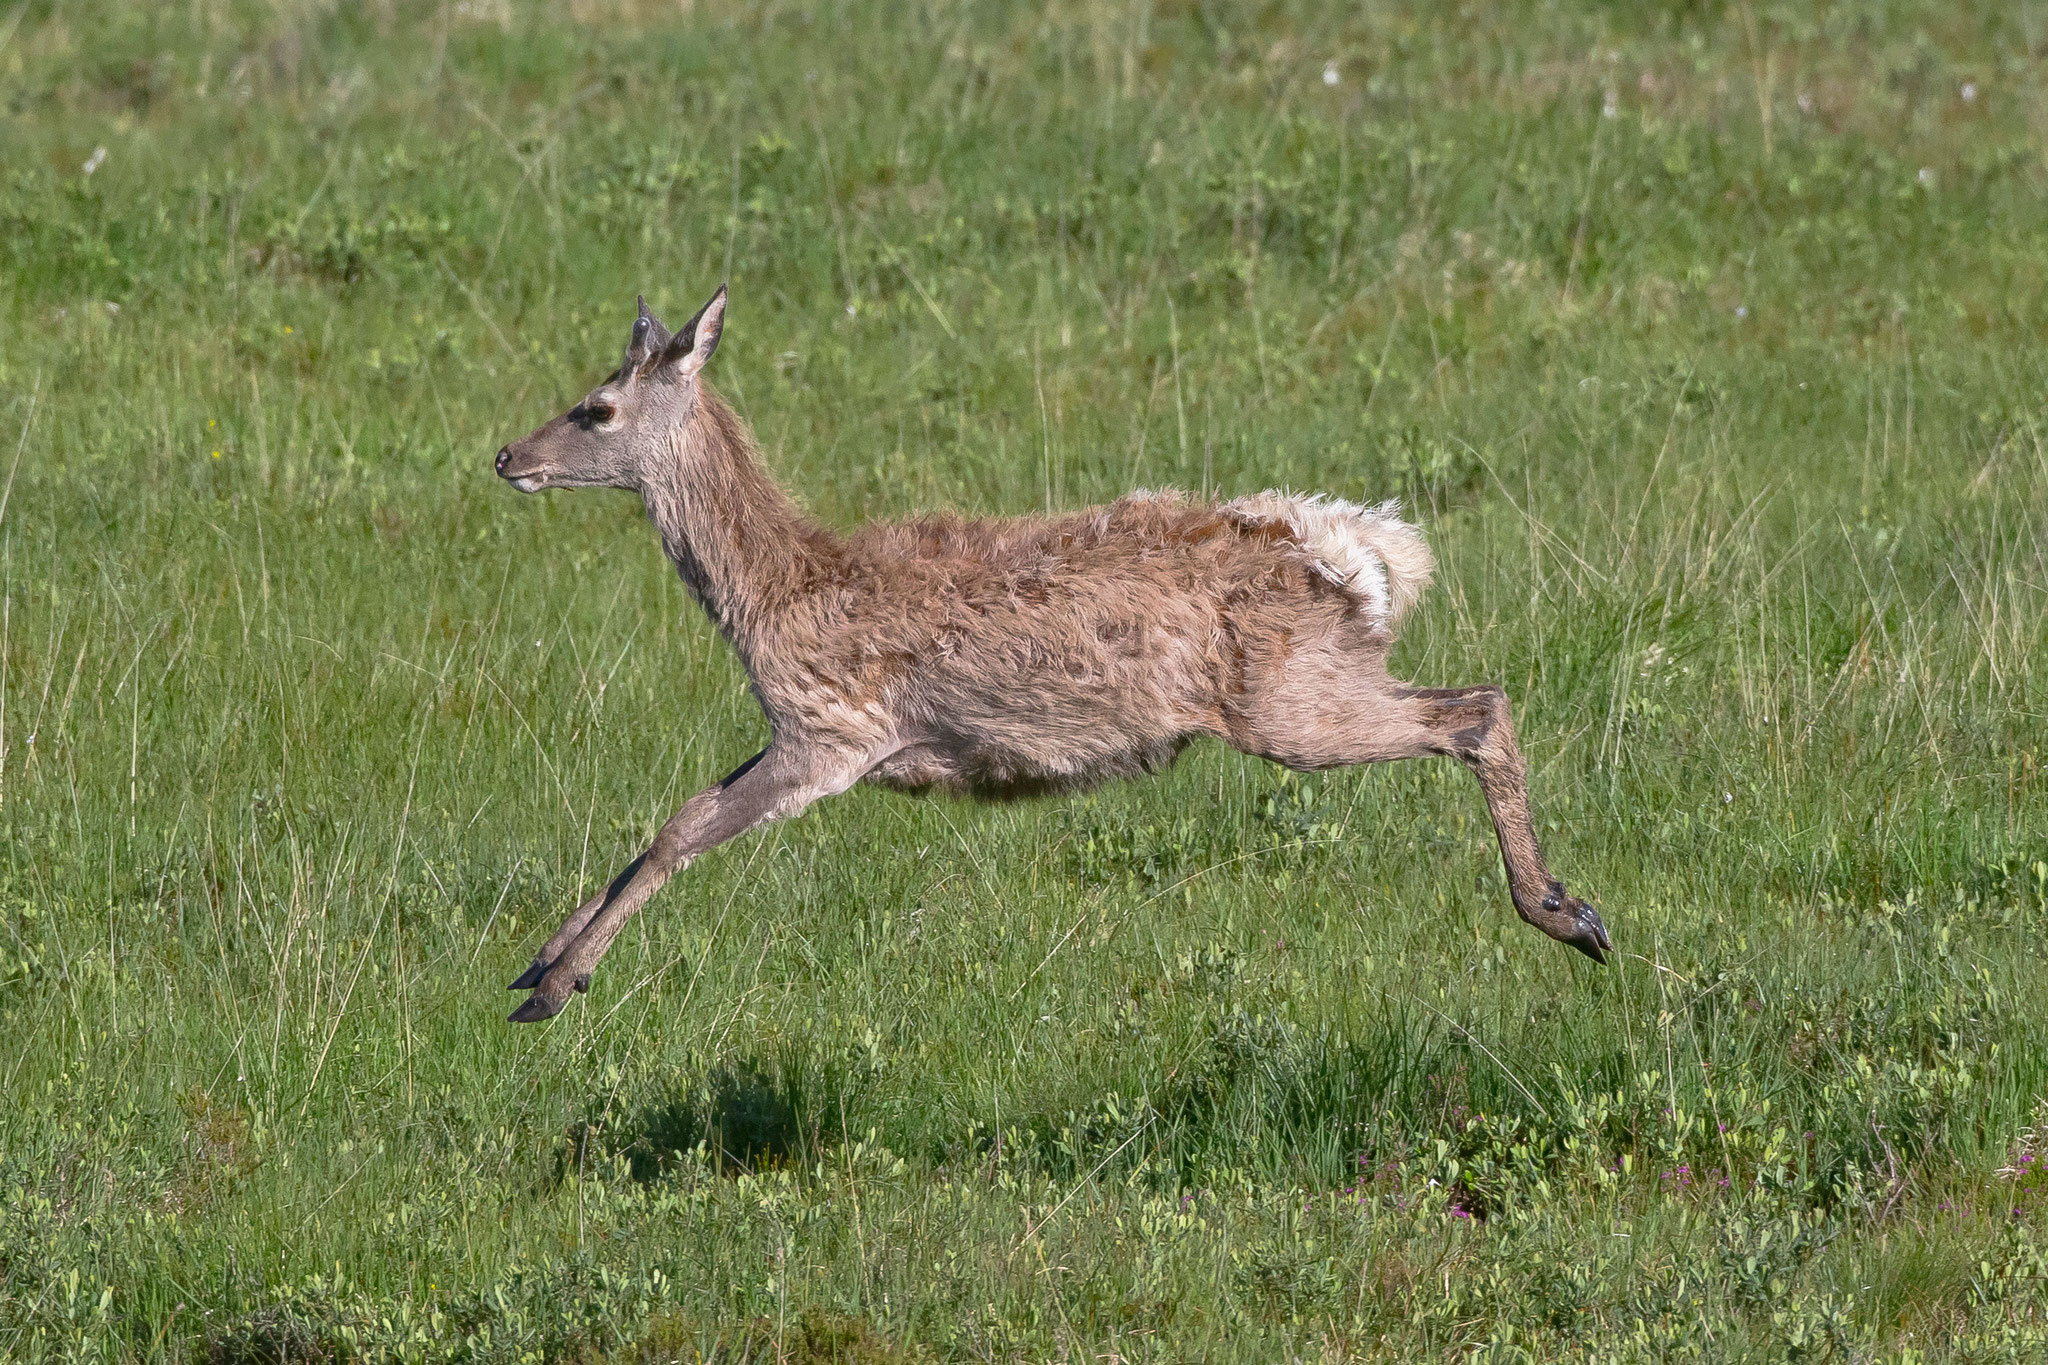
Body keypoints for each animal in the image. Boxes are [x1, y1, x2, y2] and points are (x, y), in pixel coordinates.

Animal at [487, 288, 1605, 1023]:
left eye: (596, 407)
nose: (506, 455)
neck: (776, 594)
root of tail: (1357, 551)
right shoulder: (794, 732)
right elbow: (667, 821)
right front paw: (536, 962)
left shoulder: (831, 733)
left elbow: (682, 830)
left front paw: (553, 989)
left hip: (1294, 702)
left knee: (1477, 706)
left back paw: (1566, 912)